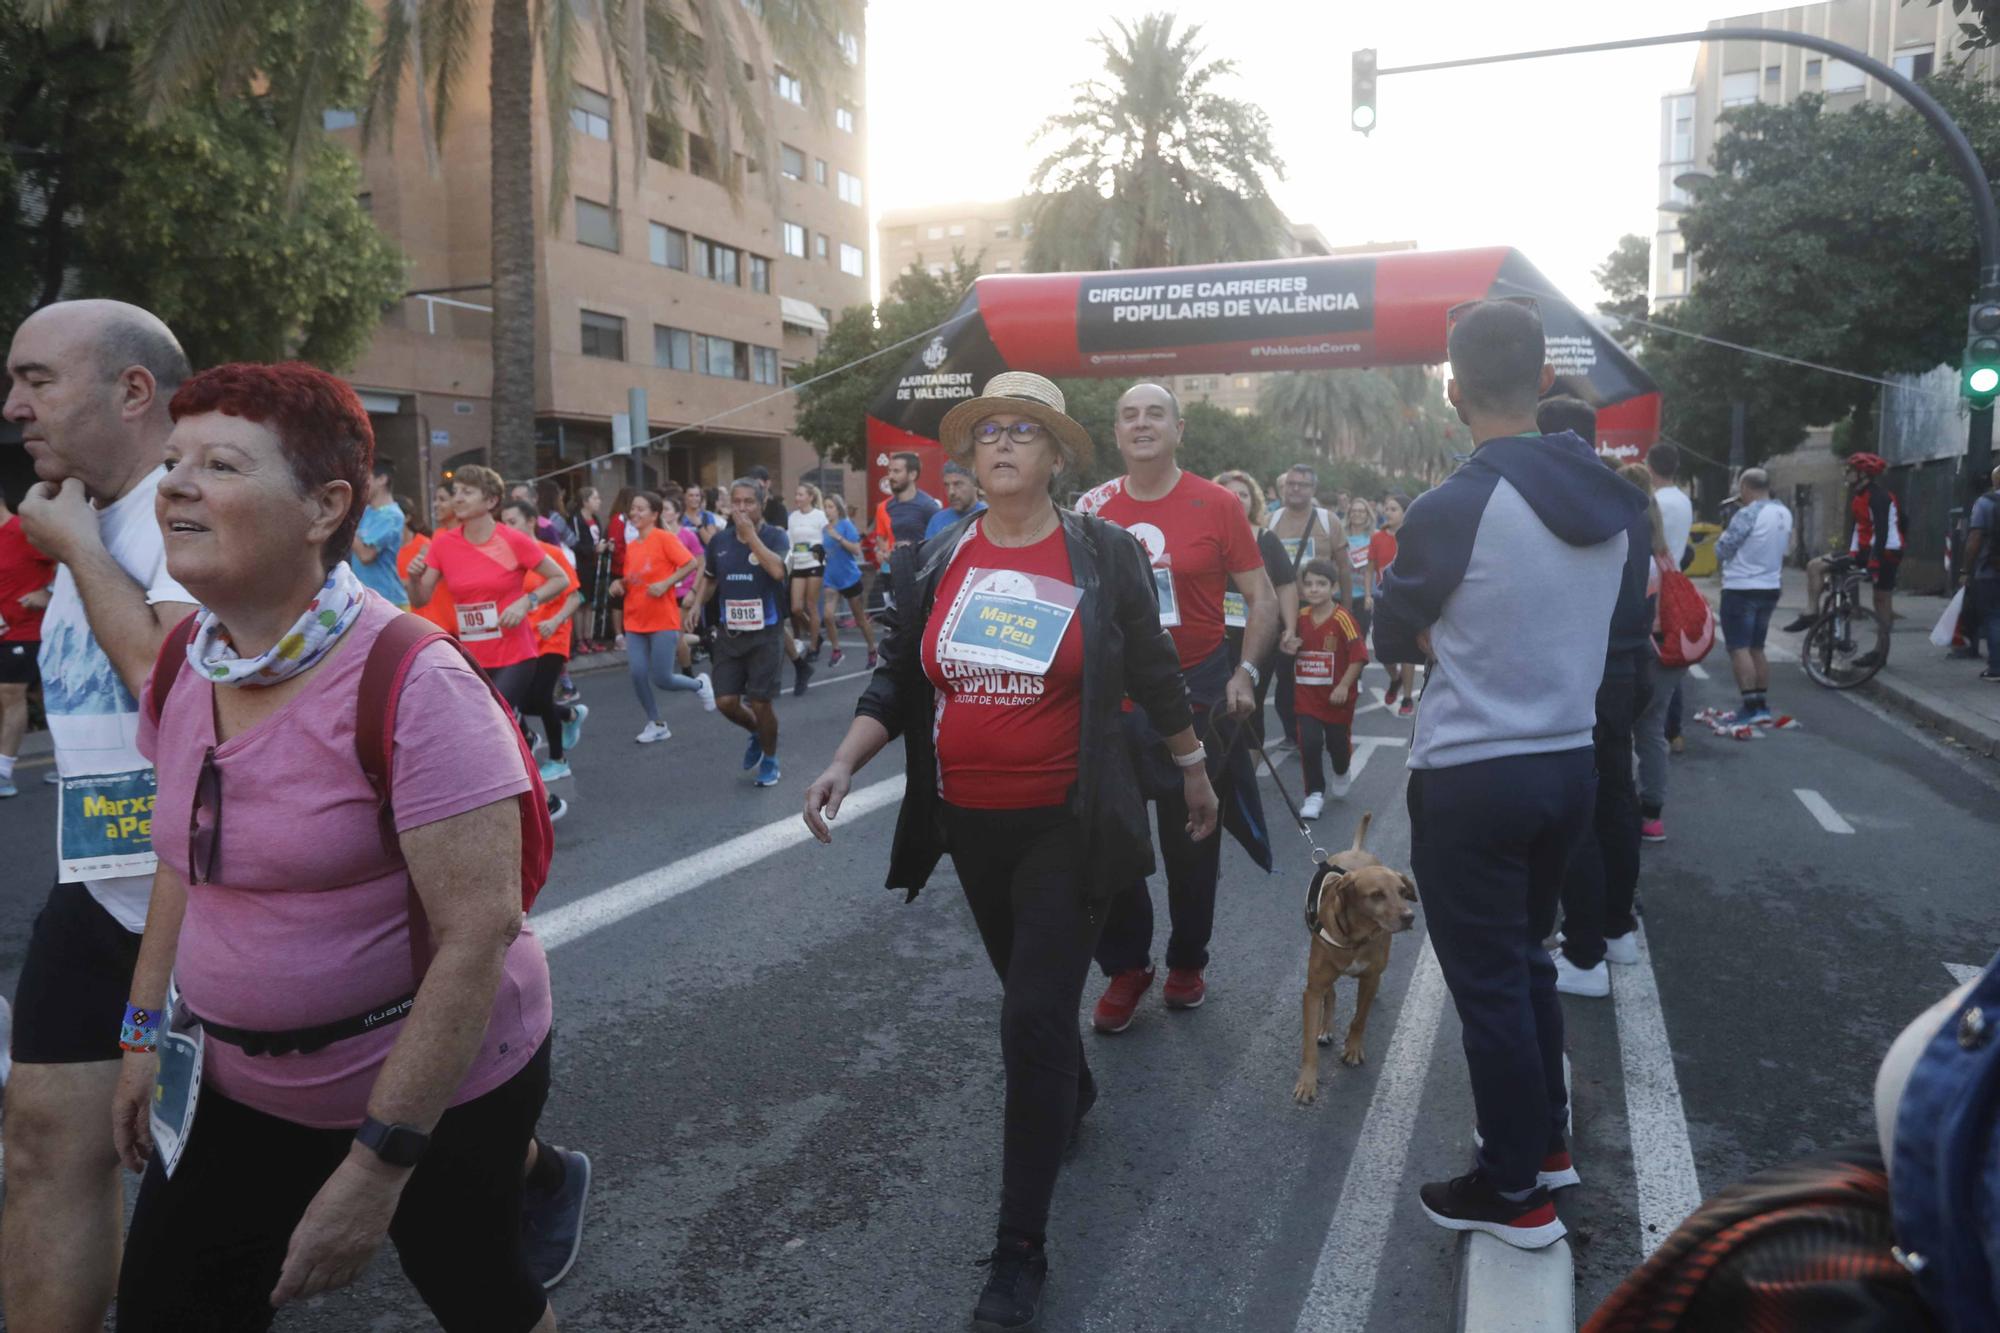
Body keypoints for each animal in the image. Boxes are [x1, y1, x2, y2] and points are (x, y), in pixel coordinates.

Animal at [1296, 808, 1424, 1096]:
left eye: (1402, 891)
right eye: (1376, 895)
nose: (1409, 917)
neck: (1355, 938)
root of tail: (1356, 851)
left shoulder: (1369, 979)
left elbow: (1359, 1018)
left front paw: (1353, 1050)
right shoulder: (1313, 989)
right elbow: (1309, 1043)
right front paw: (1307, 1083)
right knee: (1330, 995)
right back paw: (1326, 1027)